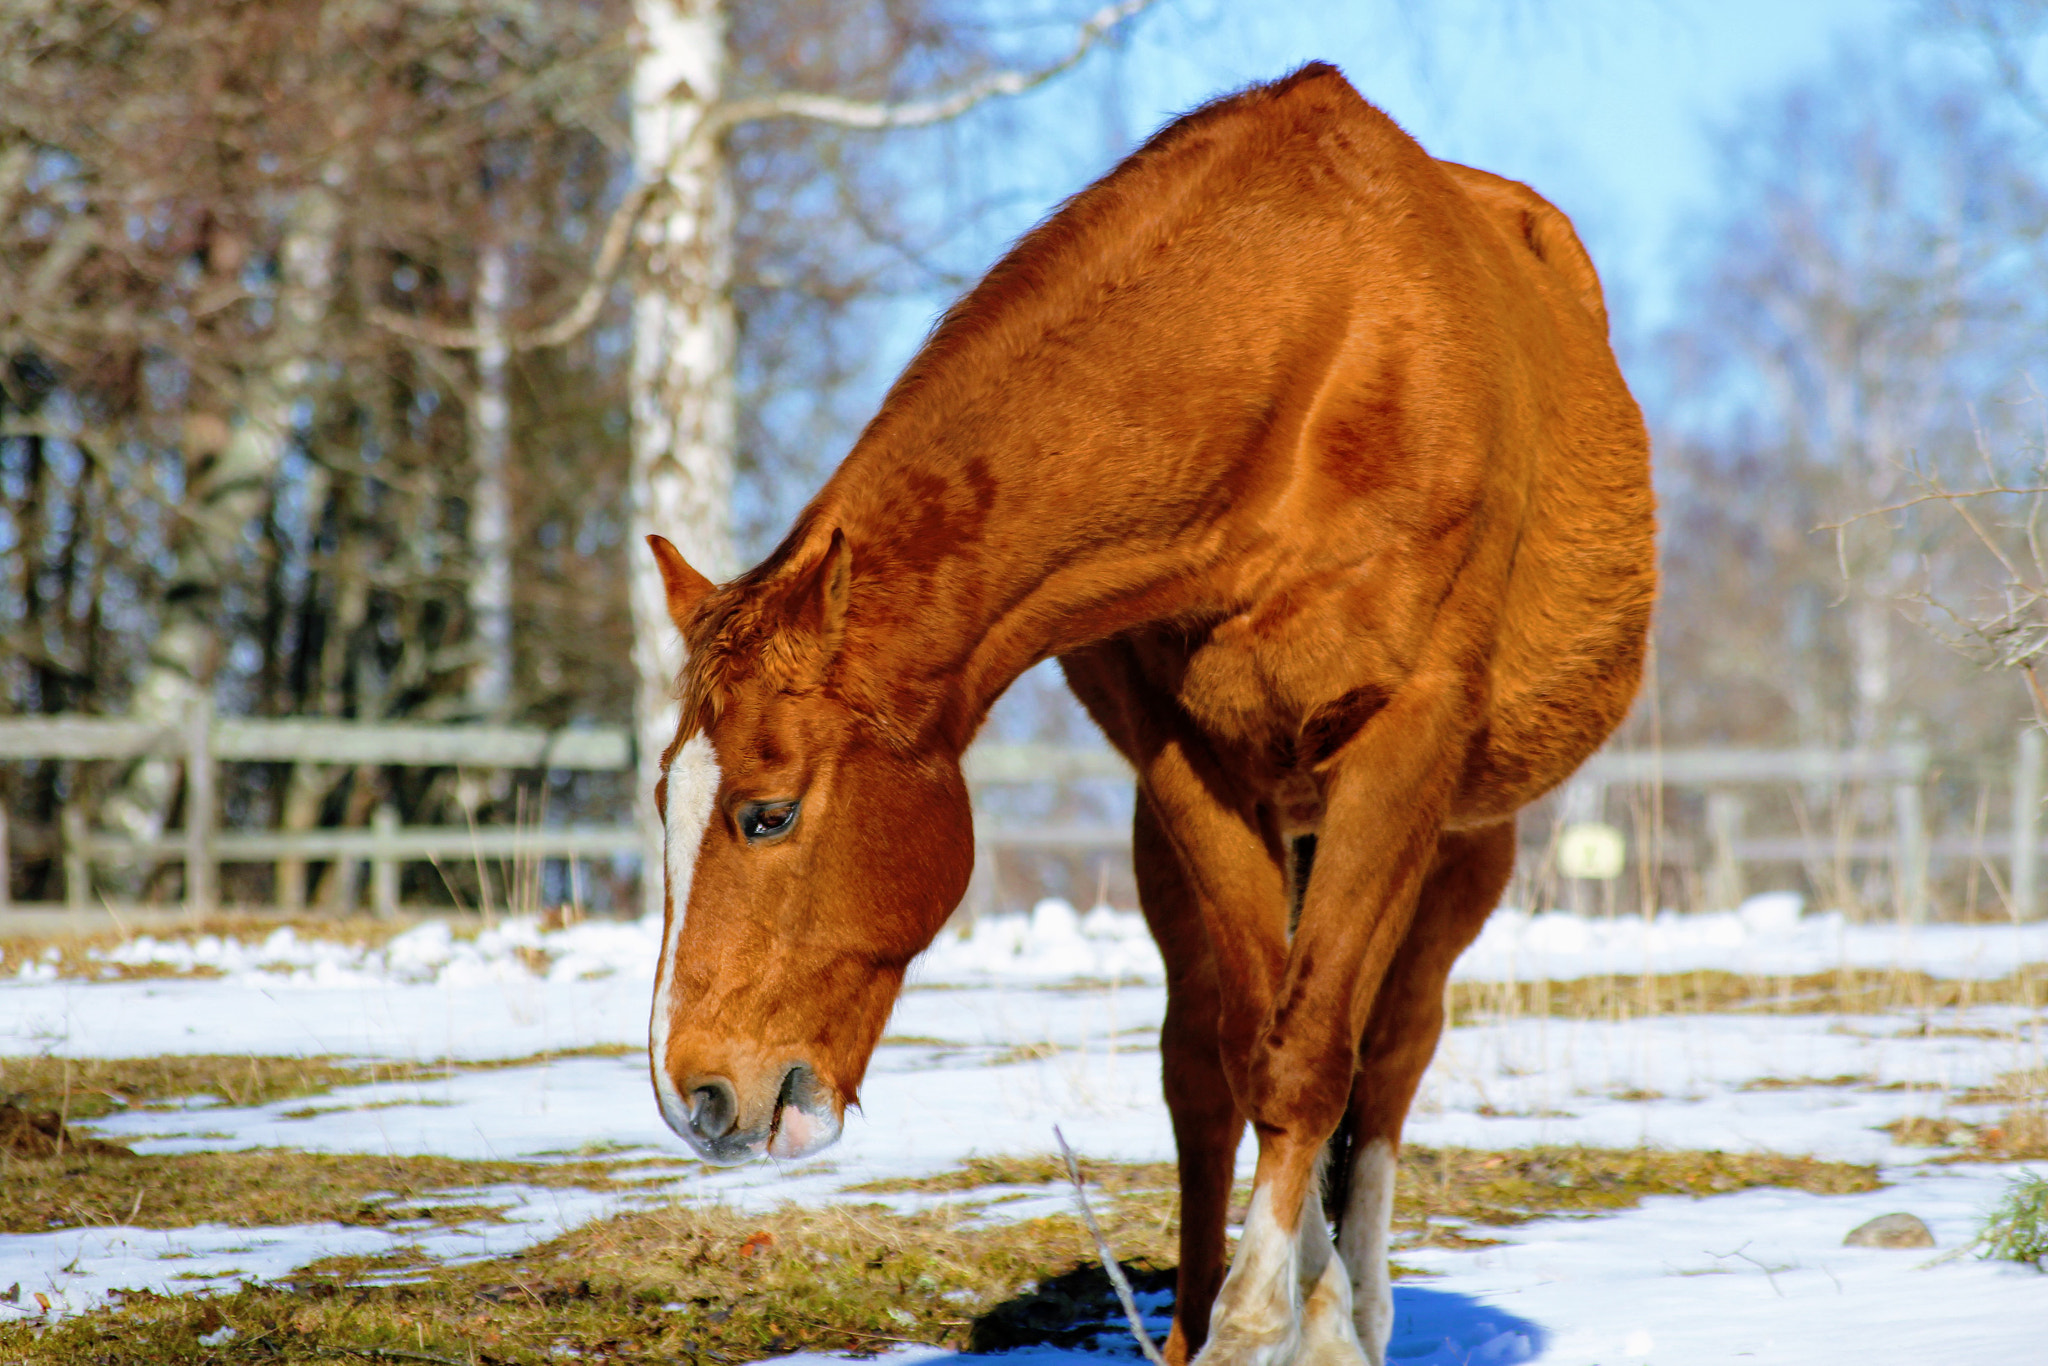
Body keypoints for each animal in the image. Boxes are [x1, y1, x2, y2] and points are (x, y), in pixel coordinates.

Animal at [647, 61, 1654, 1366]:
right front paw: (1266, 1317)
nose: (696, 1099)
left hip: (1458, 845)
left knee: (1387, 1056)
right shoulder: (1193, 765)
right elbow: (1254, 1044)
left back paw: (1357, 1306)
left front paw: (1283, 1326)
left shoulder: (1401, 748)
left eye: (765, 814)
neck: (1310, 349)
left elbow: (1316, 1052)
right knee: (1202, 1066)